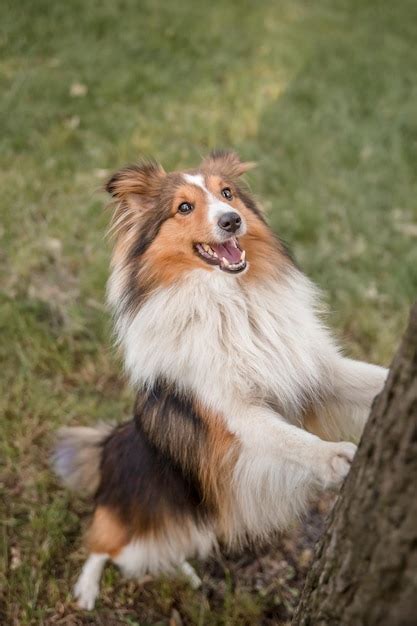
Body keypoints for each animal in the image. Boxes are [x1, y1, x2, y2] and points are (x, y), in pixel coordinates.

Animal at [52, 149, 386, 608]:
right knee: (103, 548)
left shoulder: (316, 372)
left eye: (227, 193)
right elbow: (288, 438)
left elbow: (368, 379)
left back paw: (187, 574)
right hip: (131, 522)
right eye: (184, 207)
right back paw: (86, 590)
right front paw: (334, 456)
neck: (232, 302)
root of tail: (109, 443)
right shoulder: (232, 411)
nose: (231, 221)